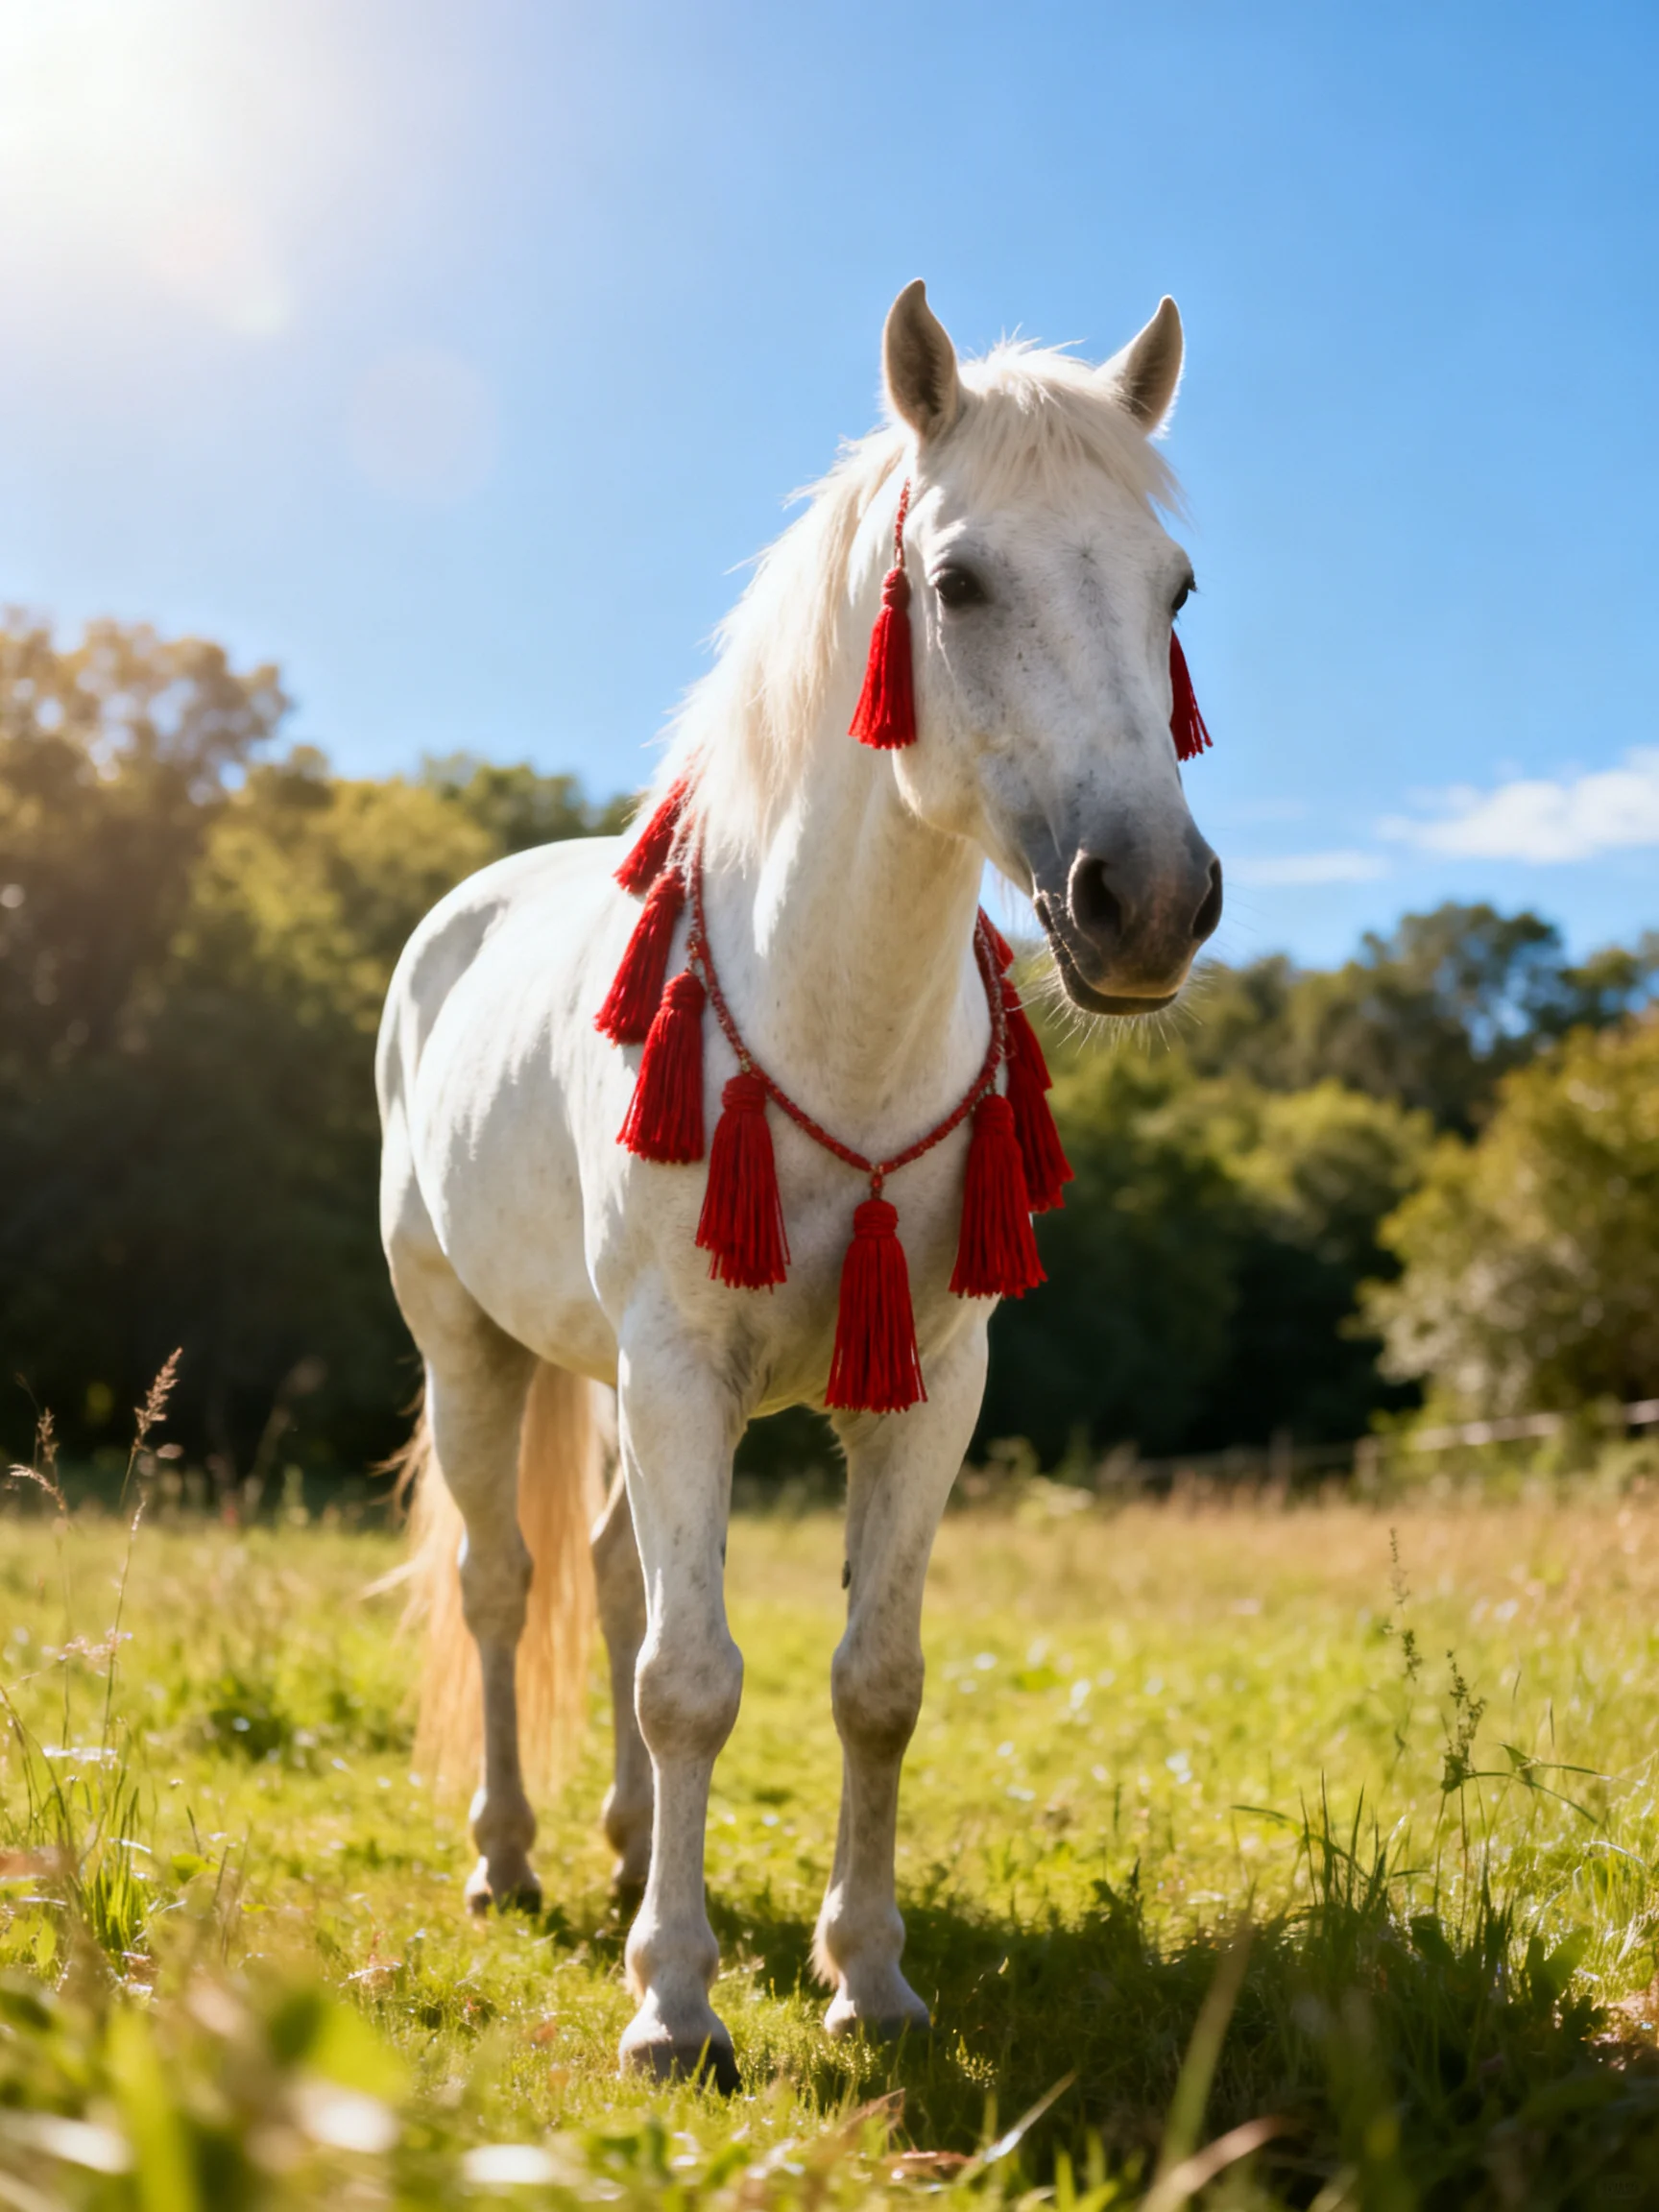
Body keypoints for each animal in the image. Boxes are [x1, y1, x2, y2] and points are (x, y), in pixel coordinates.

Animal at [376, 279, 1222, 2088]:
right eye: (958, 581)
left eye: (1173, 586)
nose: (1146, 901)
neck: (831, 1009)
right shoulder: (681, 1366)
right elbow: (689, 1679)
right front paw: (675, 2005)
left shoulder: (931, 1383)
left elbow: (872, 1679)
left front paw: (871, 1977)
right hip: (475, 1350)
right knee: (507, 1587)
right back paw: (508, 1858)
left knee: (614, 1576)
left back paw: (631, 1847)